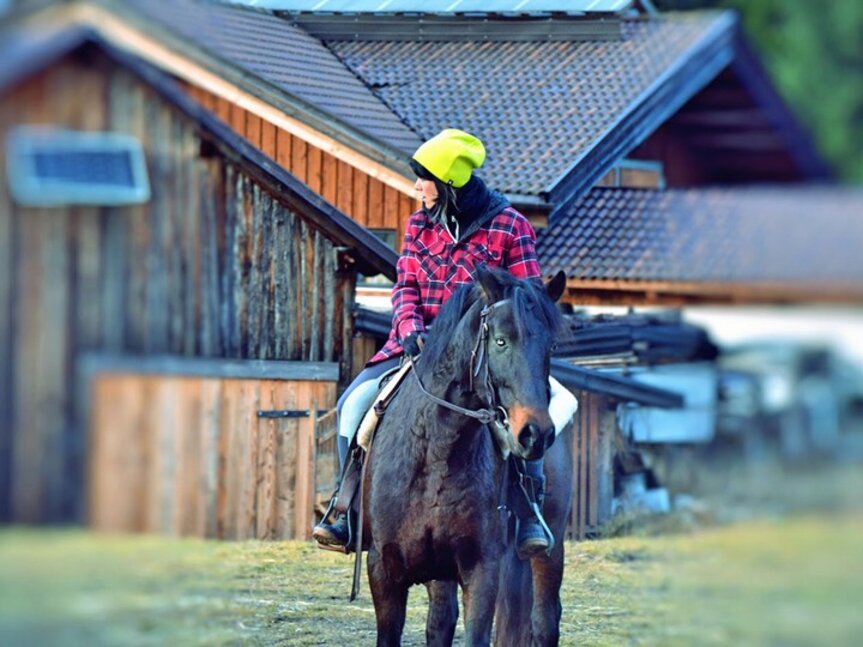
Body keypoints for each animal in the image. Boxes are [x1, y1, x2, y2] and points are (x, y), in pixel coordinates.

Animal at [361, 265, 572, 646]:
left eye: (550, 345)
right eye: (501, 341)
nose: (536, 434)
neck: (437, 451)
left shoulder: (483, 569)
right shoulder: (383, 569)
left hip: (548, 551)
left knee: (543, 621)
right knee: (443, 620)